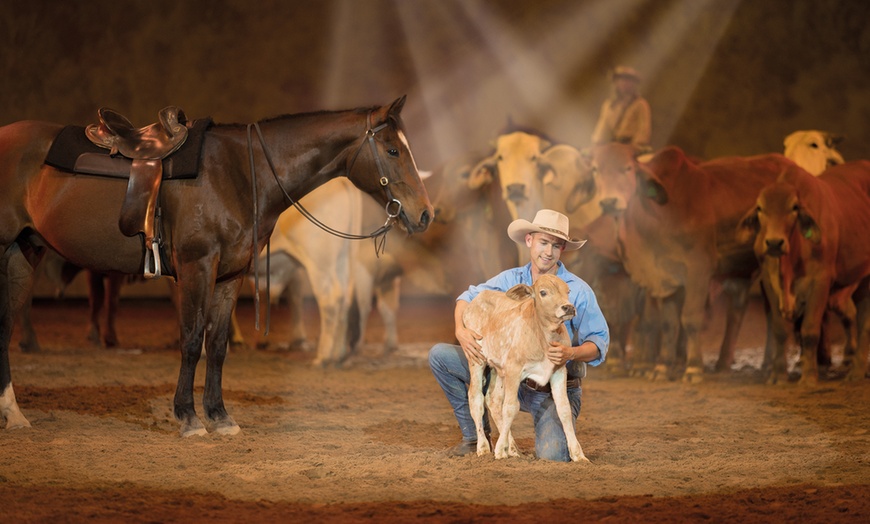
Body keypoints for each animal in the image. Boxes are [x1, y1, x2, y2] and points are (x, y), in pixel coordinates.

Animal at [0, 96, 434, 436]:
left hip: (23, 254)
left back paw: (14, 414)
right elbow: (193, 340)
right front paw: (189, 417)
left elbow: (219, 343)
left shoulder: (229, 275)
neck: (240, 171)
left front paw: (220, 416)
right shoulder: (197, 267)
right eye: (393, 151)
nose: (426, 214)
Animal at [460, 274, 588, 462]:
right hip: (477, 360)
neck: (544, 337)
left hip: (498, 369)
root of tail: (477, 299)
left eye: (568, 291)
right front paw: (499, 450)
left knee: (493, 400)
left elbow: (564, 409)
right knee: (476, 398)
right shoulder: (514, 370)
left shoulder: (558, 370)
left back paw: (512, 448)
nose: (568, 307)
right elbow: (511, 407)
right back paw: (483, 447)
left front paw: (578, 455)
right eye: (543, 292)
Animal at [620, 145, 796, 382]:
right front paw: (662, 367)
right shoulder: (667, 277)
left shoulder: (699, 270)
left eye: (629, 170)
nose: (610, 202)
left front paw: (693, 368)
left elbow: (690, 319)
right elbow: (668, 323)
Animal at [740, 162, 870, 382]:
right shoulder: (768, 281)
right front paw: (778, 376)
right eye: (760, 208)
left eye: (794, 207)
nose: (774, 242)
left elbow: (809, 330)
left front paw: (809, 377)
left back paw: (857, 372)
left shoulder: (821, 281)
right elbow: (780, 330)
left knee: (865, 325)